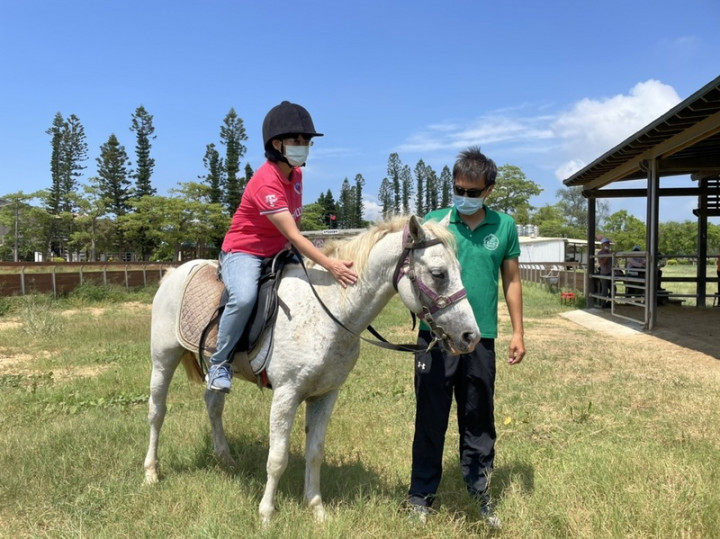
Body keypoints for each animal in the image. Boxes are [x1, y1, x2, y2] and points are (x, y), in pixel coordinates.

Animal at [143, 214, 480, 523]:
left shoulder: (326, 395)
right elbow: (277, 458)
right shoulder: (286, 394)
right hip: (163, 358)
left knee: (213, 404)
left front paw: (317, 509)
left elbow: (315, 453)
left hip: (218, 368)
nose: (470, 336)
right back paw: (151, 473)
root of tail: (174, 272)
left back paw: (225, 459)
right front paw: (266, 514)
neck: (330, 311)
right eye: (438, 274)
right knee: (157, 412)